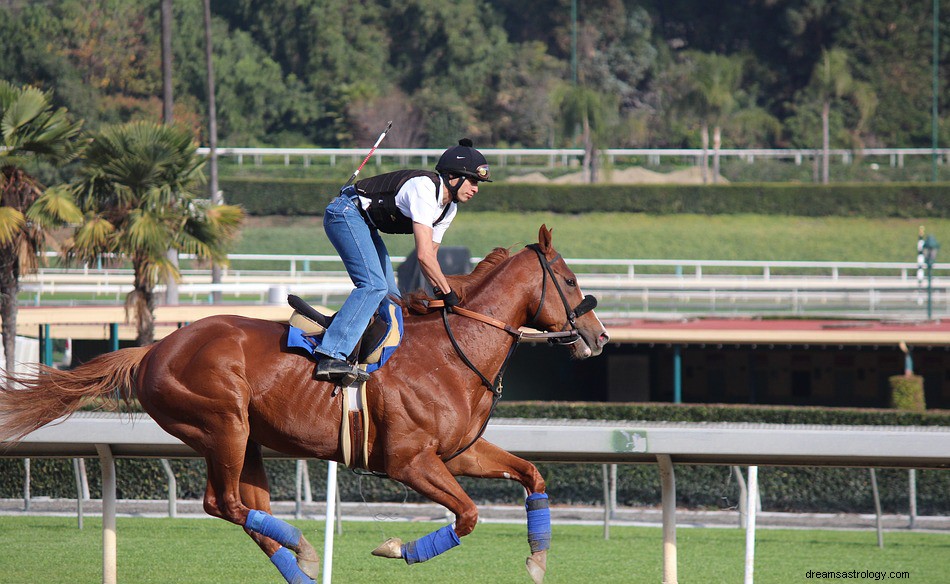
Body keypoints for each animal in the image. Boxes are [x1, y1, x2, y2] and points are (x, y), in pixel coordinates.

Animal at [0, 225, 608, 584]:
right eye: (570, 279)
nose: (598, 337)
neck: (452, 349)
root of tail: (154, 348)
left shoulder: (459, 452)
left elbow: (530, 473)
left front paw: (537, 557)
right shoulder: (408, 462)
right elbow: (468, 514)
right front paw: (397, 549)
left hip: (247, 441)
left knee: (242, 509)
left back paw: (302, 565)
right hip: (223, 423)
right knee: (224, 504)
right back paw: (304, 550)